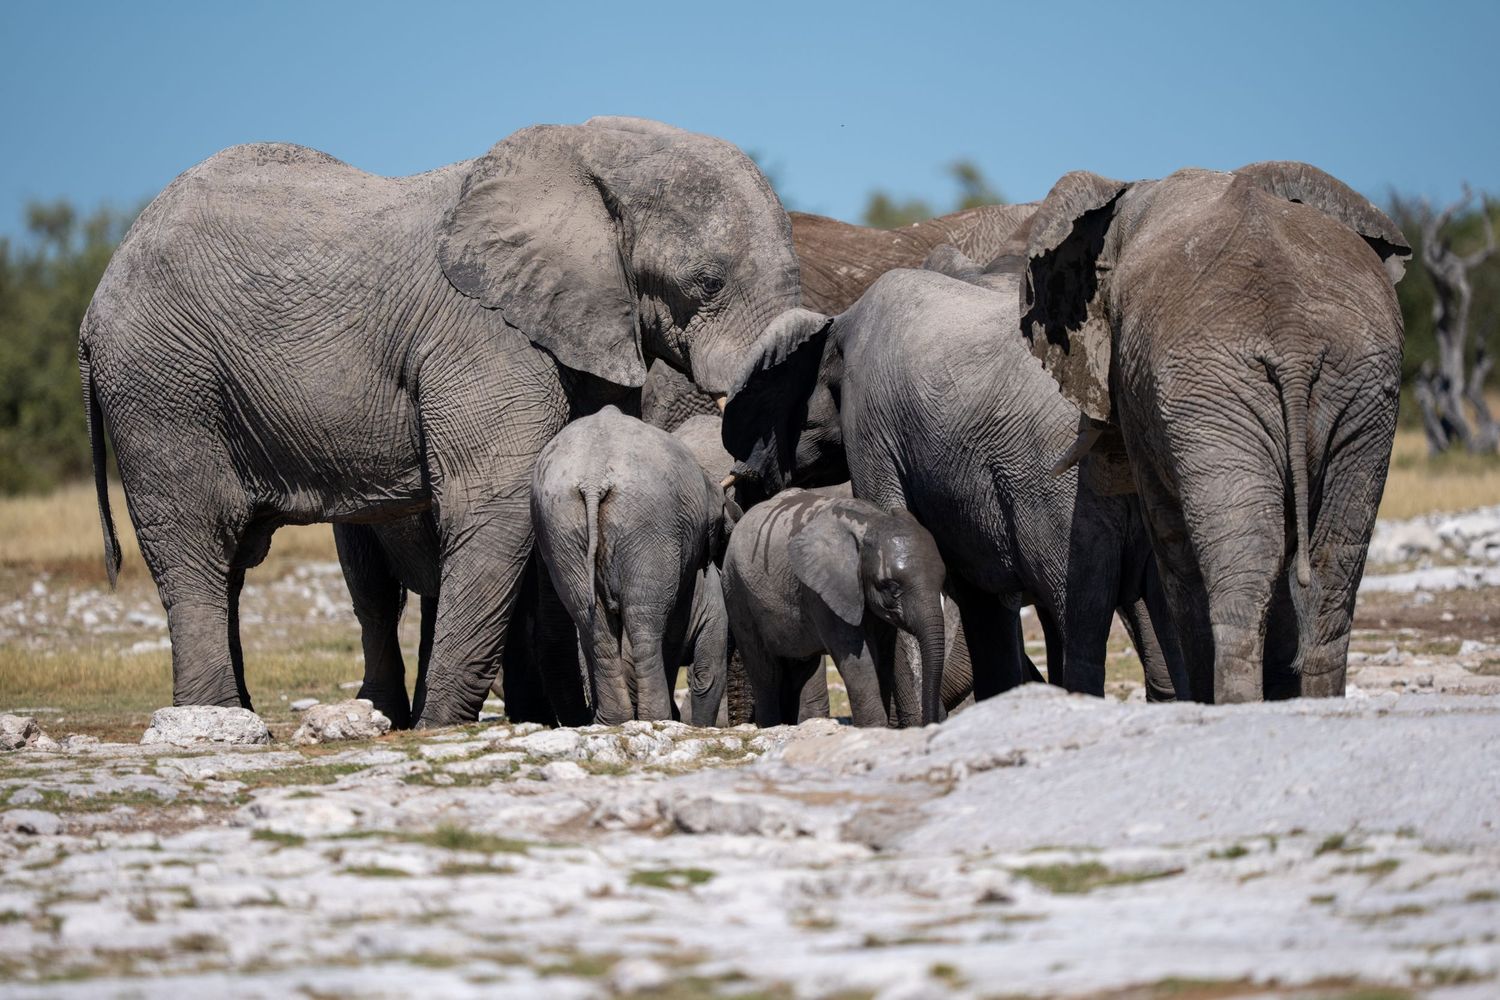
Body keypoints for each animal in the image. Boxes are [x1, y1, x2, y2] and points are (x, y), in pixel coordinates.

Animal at [530, 406, 733, 725]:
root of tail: (593, 475)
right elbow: (703, 669)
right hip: (649, 523)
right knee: (646, 623)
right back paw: (656, 718)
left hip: (559, 523)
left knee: (593, 623)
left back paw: (612, 721)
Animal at [722, 488, 948, 727]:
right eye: (891, 586)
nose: (933, 721)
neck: (870, 522)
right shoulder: (823, 592)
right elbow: (857, 658)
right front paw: (873, 727)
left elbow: (885, 656)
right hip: (736, 590)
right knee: (766, 672)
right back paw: (771, 725)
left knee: (801, 668)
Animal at [1011, 162, 1411, 702]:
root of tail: (1293, 342)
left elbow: (1170, 538)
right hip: (1360, 388)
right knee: (1335, 561)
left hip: (1215, 393)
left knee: (1243, 560)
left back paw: (1229, 702)